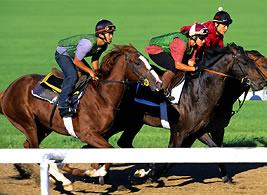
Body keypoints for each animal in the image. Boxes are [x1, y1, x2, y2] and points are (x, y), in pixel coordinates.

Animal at [0, 45, 161, 179]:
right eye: (137, 63)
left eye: (147, 60)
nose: (158, 83)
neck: (103, 96)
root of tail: (7, 90)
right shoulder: (88, 134)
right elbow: (108, 152)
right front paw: (96, 172)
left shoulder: (102, 134)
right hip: (28, 124)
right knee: (34, 148)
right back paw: (62, 178)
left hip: (44, 127)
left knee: (28, 145)